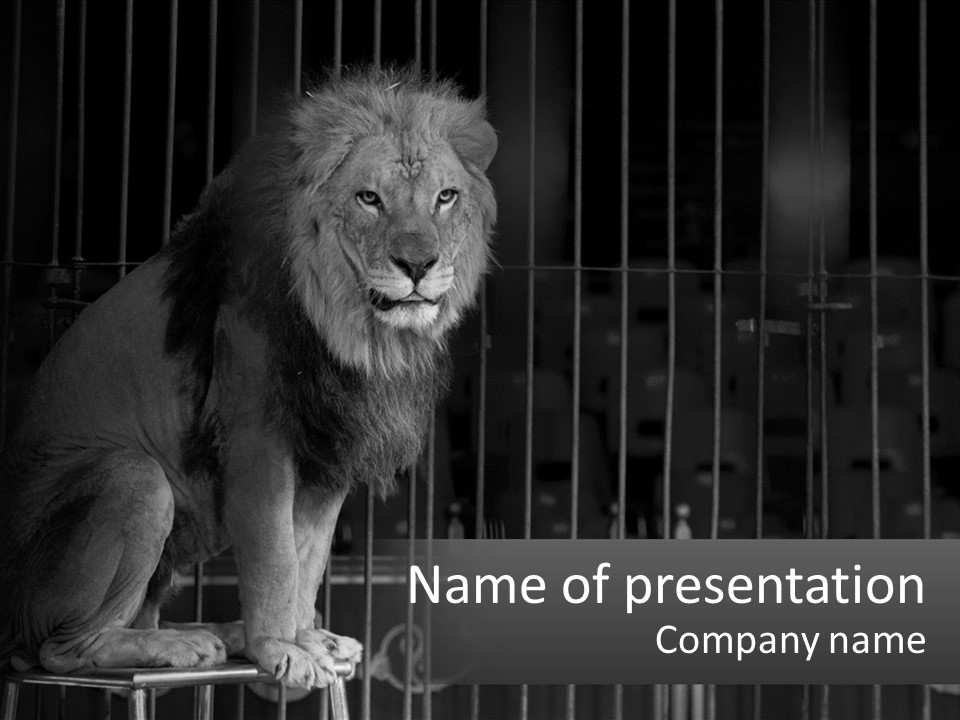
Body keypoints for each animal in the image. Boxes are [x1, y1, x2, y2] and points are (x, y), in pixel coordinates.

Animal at [0, 67, 497, 689]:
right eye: (370, 199)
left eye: (445, 197)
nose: (418, 266)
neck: (356, 332)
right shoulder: (257, 440)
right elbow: (275, 557)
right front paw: (278, 650)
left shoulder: (328, 451)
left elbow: (310, 556)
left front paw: (303, 638)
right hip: (133, 480)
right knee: (60, 648)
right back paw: (178, 646)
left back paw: (217, 634)